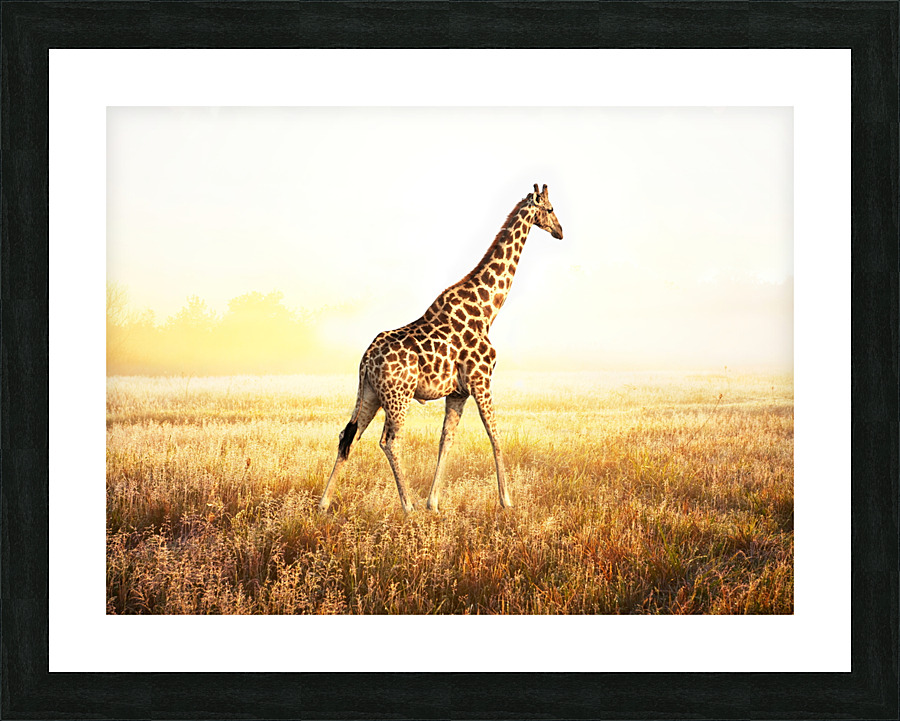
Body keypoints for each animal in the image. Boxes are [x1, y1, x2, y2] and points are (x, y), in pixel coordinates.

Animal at [318, 184, 563, 513]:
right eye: (550, 209)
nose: (560, 231)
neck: (487, 310)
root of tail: (366, 359)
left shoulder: (458, 391)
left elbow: (446, 439)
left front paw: (433, 503)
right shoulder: (481, 380)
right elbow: (495, 435)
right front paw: (507, 501)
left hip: (370, 393)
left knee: (349, 435)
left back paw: (324, 503)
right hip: (398, 395)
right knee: (389, 440)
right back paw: (407, 506)